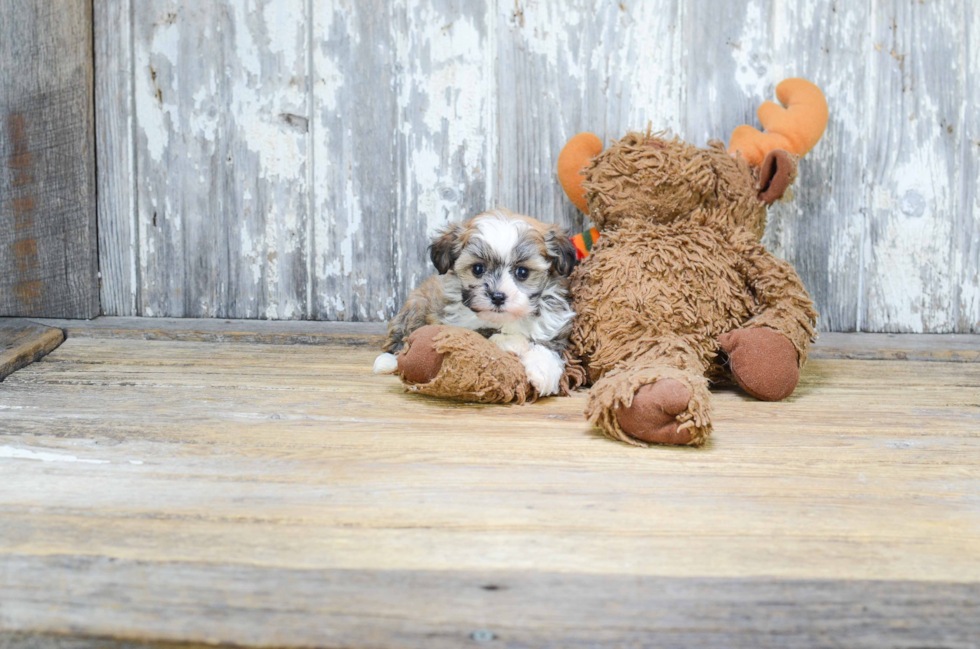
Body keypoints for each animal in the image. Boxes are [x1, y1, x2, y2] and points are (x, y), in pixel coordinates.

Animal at [374, 208, 576, 394]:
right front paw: (514, 342)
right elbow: (483, 336)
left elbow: (549, 346)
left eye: (522, 272)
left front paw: (544, 372)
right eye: (478, 269)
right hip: (417, 305)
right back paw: (388, 360)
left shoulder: (553, 322)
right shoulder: (457, 326)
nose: (497, 296)